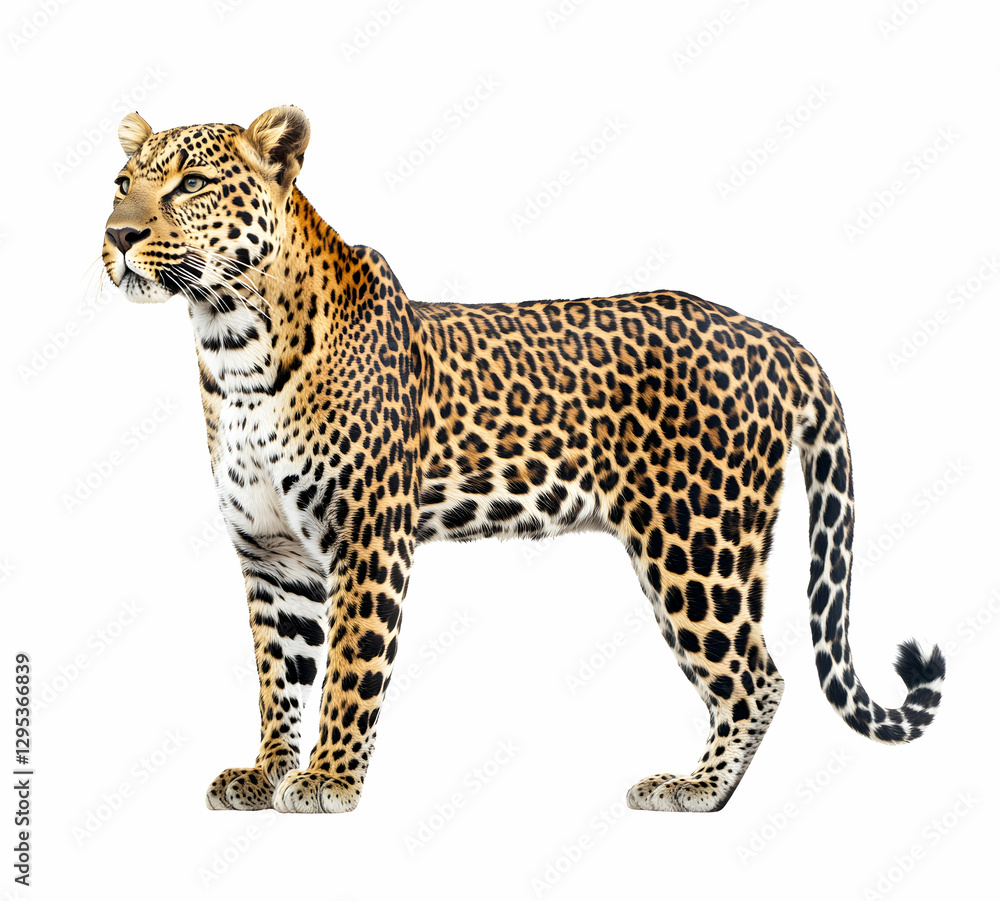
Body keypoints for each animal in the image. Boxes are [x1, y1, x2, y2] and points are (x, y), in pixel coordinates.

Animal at [102, 106, 945, 813]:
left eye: (191, 183)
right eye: (122, 183)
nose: (117, 236)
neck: (231, 343)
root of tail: (772, 335)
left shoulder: (369, 538)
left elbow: (349, 667)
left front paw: (328, 779)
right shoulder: (273, 553)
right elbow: (280, 672)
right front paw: (266, 770)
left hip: (695, 543)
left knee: (756, 676)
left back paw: (695, 789)